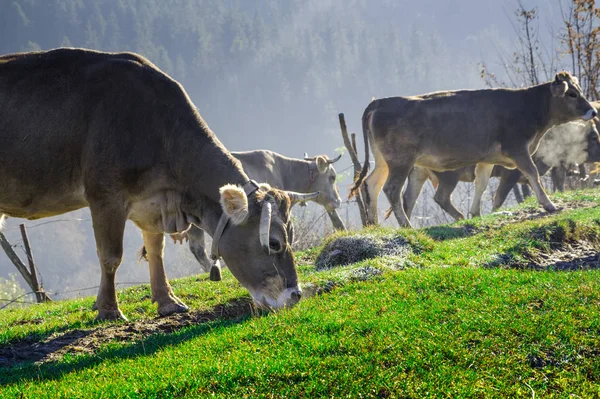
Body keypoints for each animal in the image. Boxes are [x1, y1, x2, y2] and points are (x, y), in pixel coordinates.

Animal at [0, 48, 318, 320]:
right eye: (274, 242)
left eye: (291, 236)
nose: (295, 295)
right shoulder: (105, 196)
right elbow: (111, 257)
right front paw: (109, 309)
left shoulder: (153, 201)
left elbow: (156, 250)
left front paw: (167, 301)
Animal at [352, 72, 596, 228]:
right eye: (572, 94)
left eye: (579, 91)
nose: (593, 111)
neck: (528, 106)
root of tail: (380, 102)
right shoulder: (518, 148)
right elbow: (532, 174)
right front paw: (549, 205)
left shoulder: (487, 157)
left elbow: (482, 183)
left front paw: (476, 213)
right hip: (401, 160)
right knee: (392, 189)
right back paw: (406, 225)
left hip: (385, 161)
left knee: (373, 185)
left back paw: (374, 225)